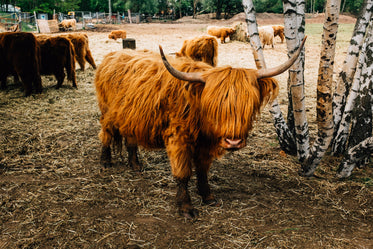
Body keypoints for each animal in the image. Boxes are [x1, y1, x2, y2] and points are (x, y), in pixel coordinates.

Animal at [93, 38, 306, 219]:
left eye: (249, 104)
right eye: (214, 105)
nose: (234, 141)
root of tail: (113, 55)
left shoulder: (206, 143)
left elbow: (203, 170)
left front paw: (207, 196)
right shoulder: (178, 138)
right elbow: (183, 173)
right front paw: (186, 207)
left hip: (130, 116)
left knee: (130, 138)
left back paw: (135, 165)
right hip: (107, 111)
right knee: (105, 134)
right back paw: (105, 161)